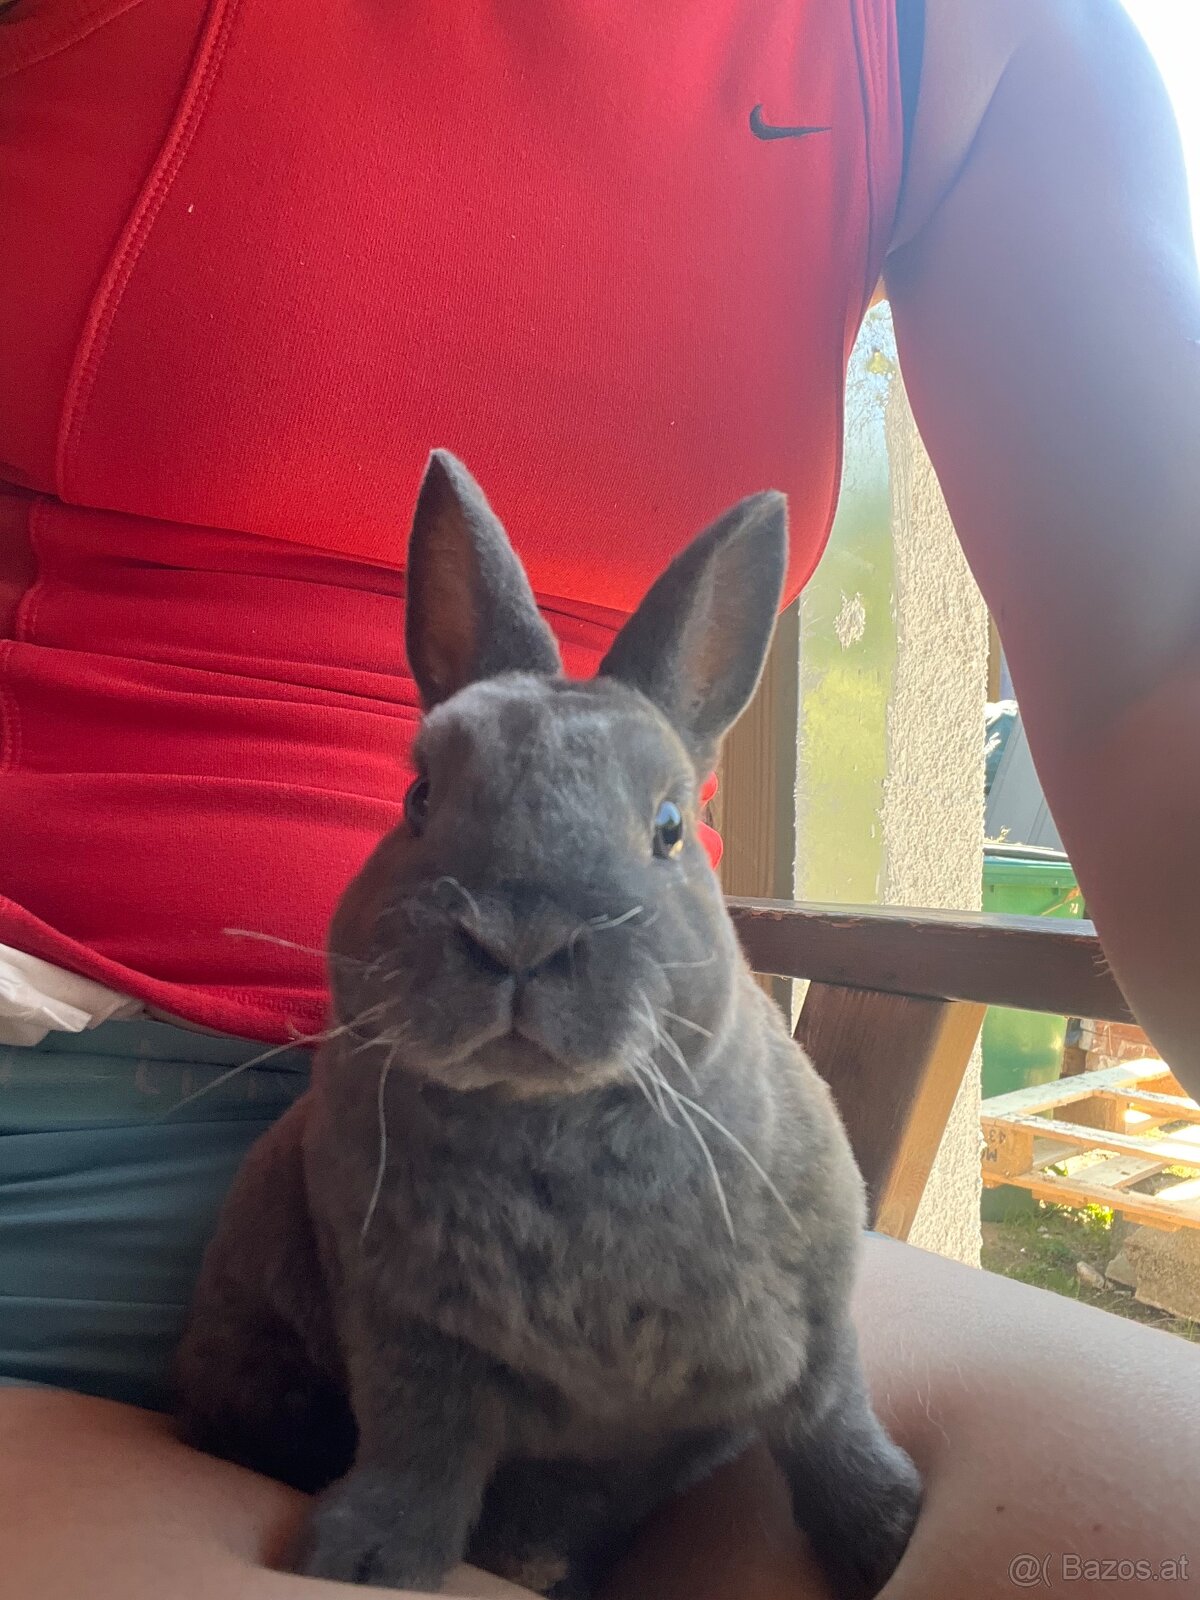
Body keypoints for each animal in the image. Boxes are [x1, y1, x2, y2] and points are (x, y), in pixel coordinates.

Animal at [173, 450, 921, 1600]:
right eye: (417, 798)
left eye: (669, 828)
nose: (519, 940)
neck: (546, 1116)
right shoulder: (408, 1336)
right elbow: (421, 1450)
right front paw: (366, 1559)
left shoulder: (814, 1318)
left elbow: (830, 1423)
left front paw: (888, 1532)